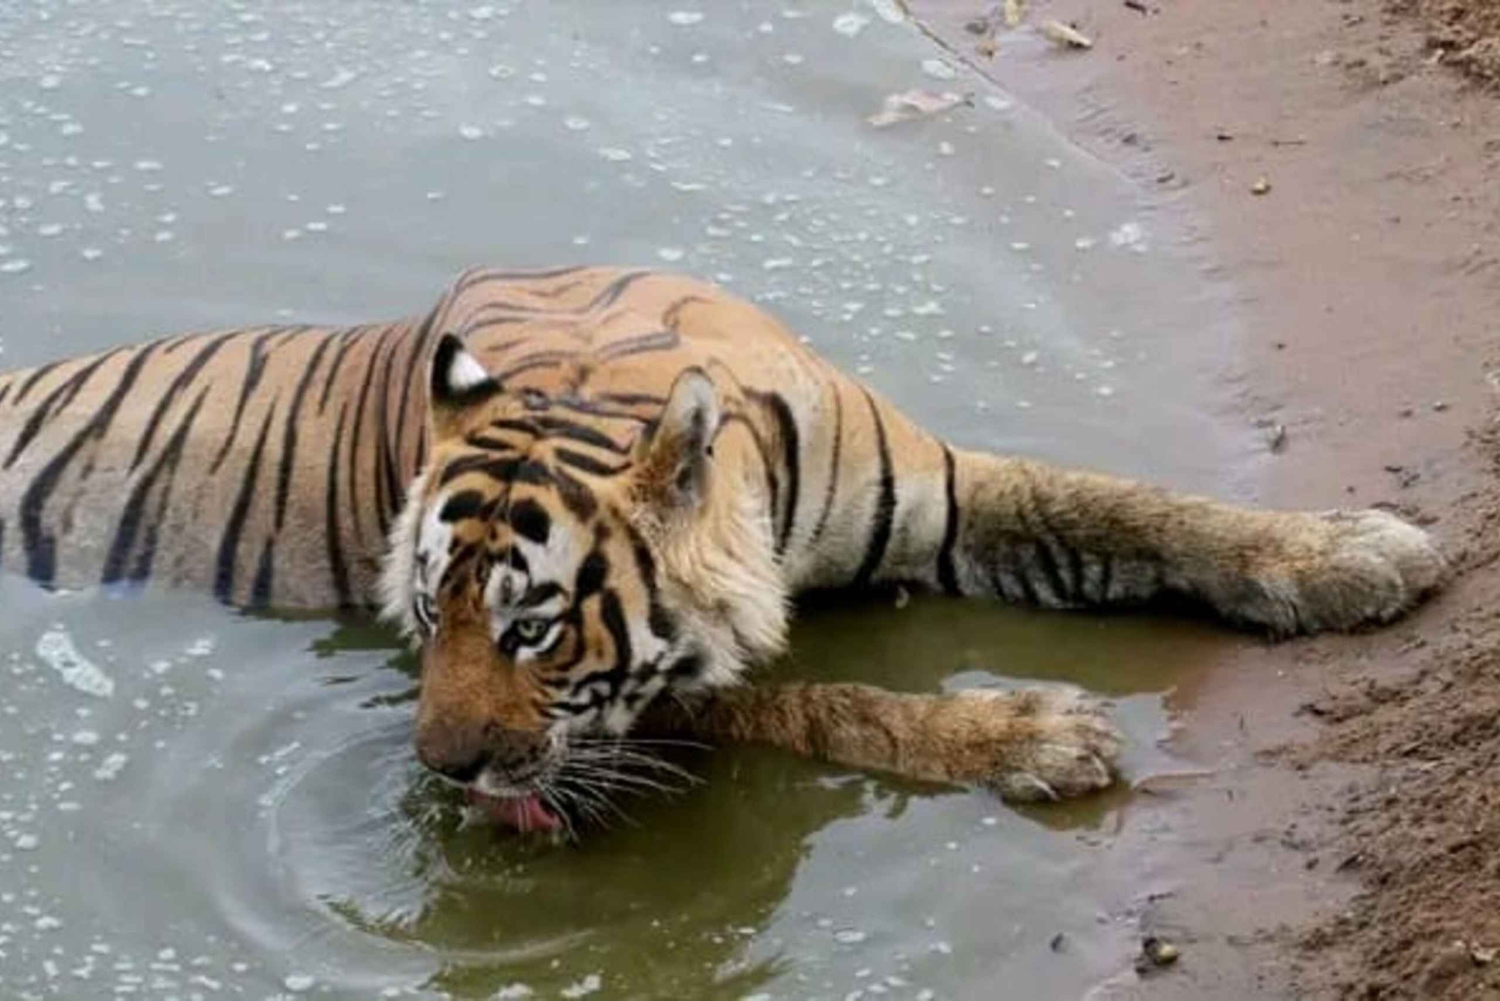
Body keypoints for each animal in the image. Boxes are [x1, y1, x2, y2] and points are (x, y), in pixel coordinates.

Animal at [0, 265, 1445, 831]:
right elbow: (833, 698)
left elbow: (1126, 507)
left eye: (529, 627)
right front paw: (1035, 733)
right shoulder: (673, 700)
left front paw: (1355, 549)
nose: (440, 771)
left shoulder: (951, 496)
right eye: (423, 624)